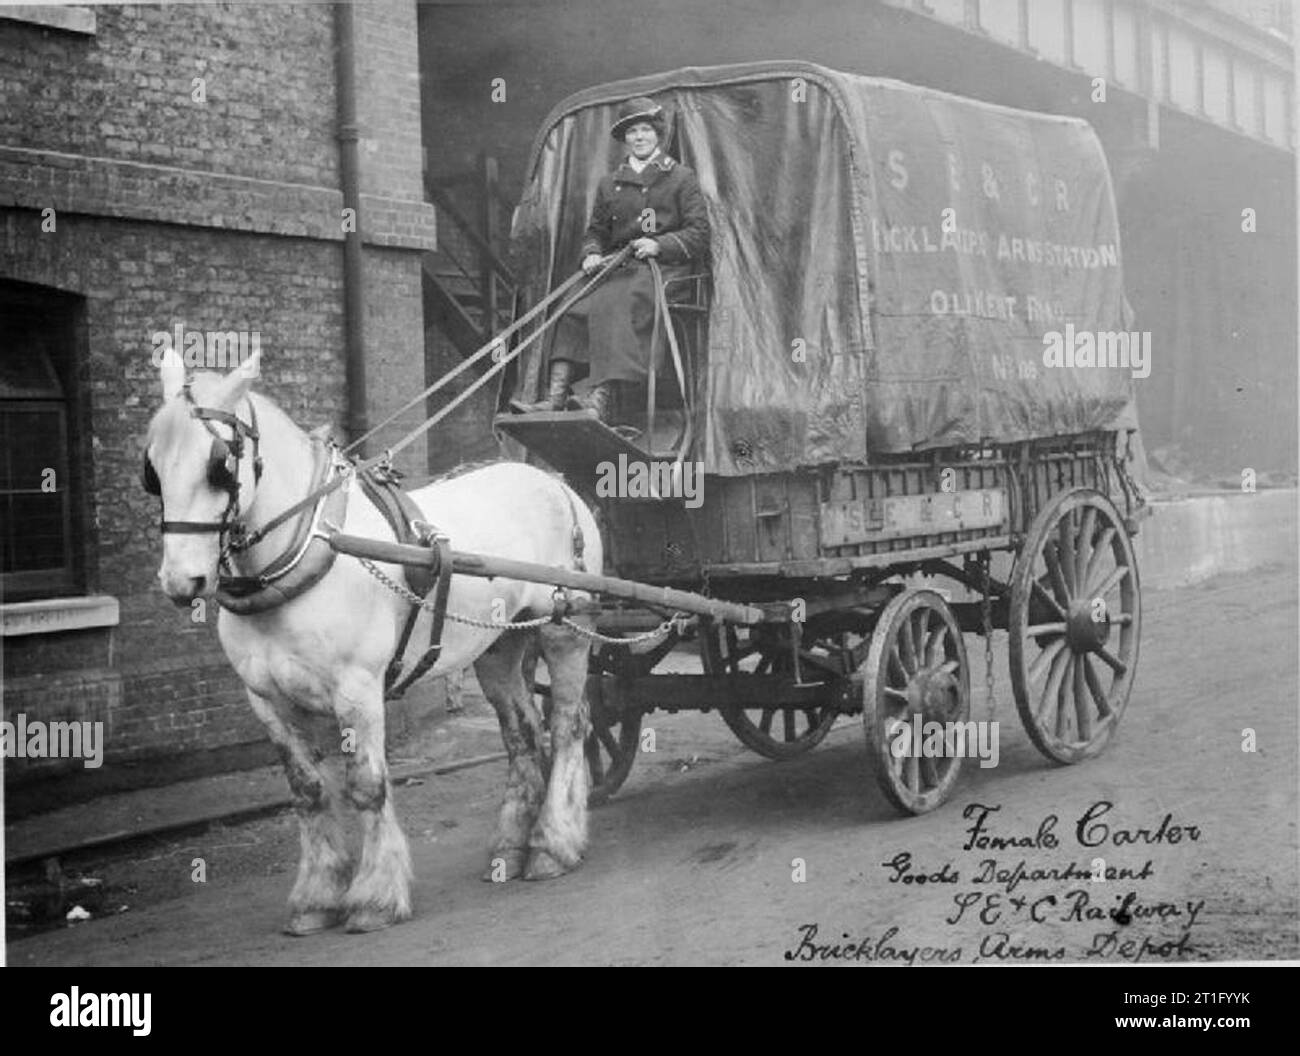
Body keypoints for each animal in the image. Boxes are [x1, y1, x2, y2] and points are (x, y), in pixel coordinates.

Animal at [144, 348, 600, 931]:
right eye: (153, 470)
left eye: (219, 465)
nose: (183, 581)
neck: (312, 548)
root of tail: (553, 482)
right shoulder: (267, 699)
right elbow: (308, 791)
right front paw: (316, 898)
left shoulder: (357, 690)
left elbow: (366, 785)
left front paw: (375, 897)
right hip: (498, 647)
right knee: (522, 734)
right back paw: (511, 848)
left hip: (565, 630)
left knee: (567, 727)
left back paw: (552, 845)